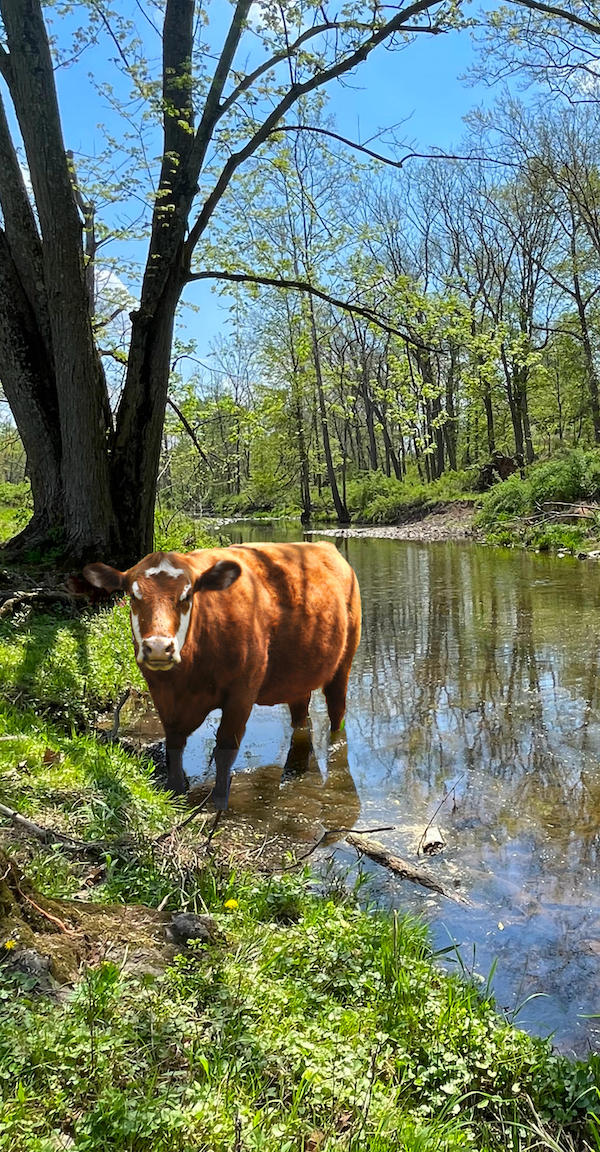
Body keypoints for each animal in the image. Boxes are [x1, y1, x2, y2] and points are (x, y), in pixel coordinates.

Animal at [83, 542, 361, 807]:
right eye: (133, 595)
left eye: (187, 595)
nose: (159, 647)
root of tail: (326, 547)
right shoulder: (162, 694)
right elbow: (174, 744)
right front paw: (176, 792)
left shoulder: (241, 694)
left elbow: (225, 749)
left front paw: (219, 800)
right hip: (298, 679)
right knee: (300, 718)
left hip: (344, 664)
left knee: (337, 713)